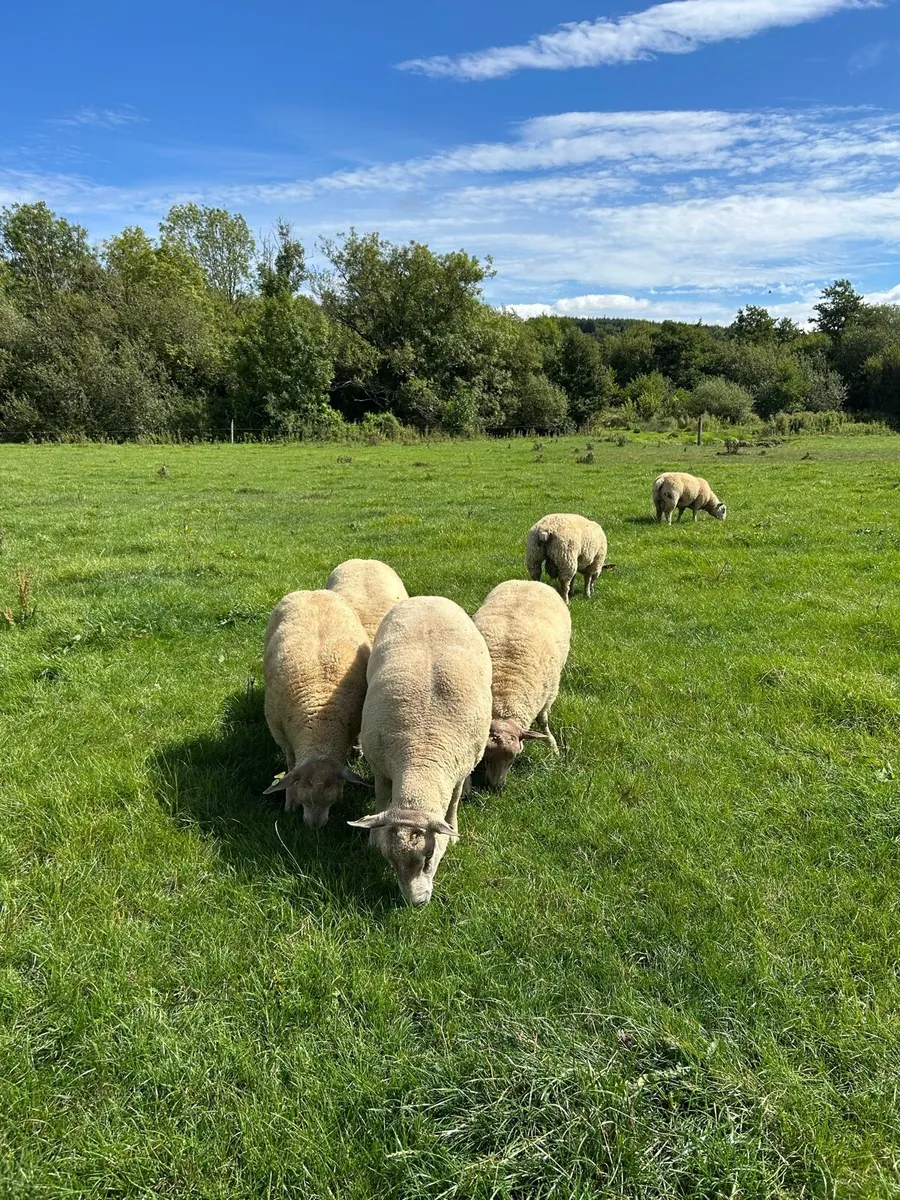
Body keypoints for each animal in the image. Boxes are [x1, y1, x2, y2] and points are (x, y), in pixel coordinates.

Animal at [262, 590, 370, 829]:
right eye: (304, 799)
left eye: (334, 800)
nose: (315, 828)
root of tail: (312, 591)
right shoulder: (281, 733)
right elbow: (290, 764)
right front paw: (290, 799)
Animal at [348, 596, 492, 906]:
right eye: (390, 861)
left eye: (428, 858)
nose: (416, 904)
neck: (421, 756)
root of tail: (429, 598)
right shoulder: (379, 765)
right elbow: (380, 796)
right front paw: (374, 837)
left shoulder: (460, 767)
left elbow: (453, 803)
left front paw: (453, 831)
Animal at [473, 580, 571, 789]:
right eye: (486, 758)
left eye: (513, 759)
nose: (495, 787)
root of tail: (529, 581)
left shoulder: (547, 696)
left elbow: (543, 721)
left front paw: (553, 746)